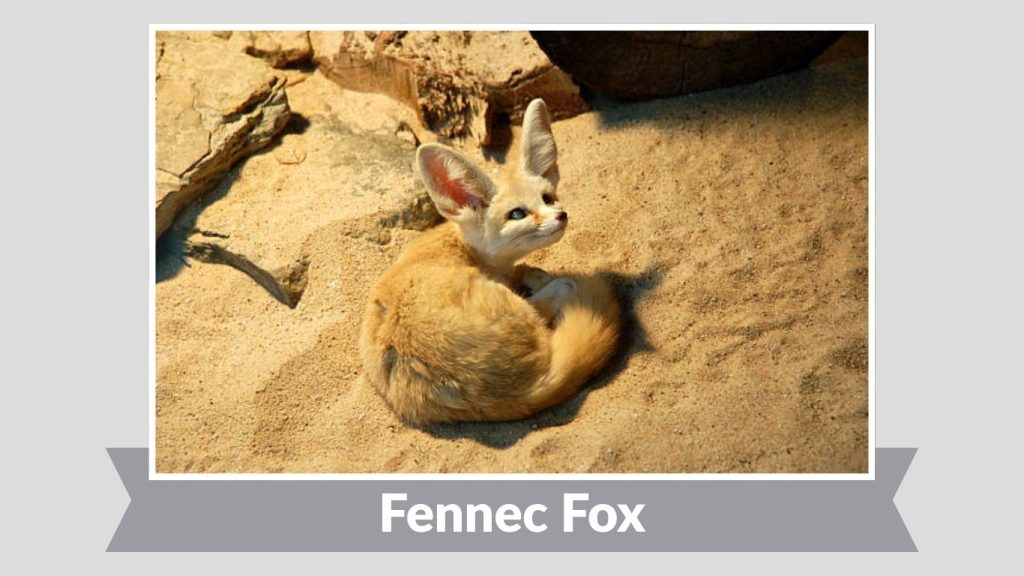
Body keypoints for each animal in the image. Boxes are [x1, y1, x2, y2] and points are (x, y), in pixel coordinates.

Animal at [359, 99, 621, 425]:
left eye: (548, 198)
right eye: (517, 214)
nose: (561, 215)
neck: (462, 244)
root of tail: (526, 390)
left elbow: (524, 269)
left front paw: (531, 273)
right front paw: (539, 277)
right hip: (522, 312)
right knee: (559, 293)